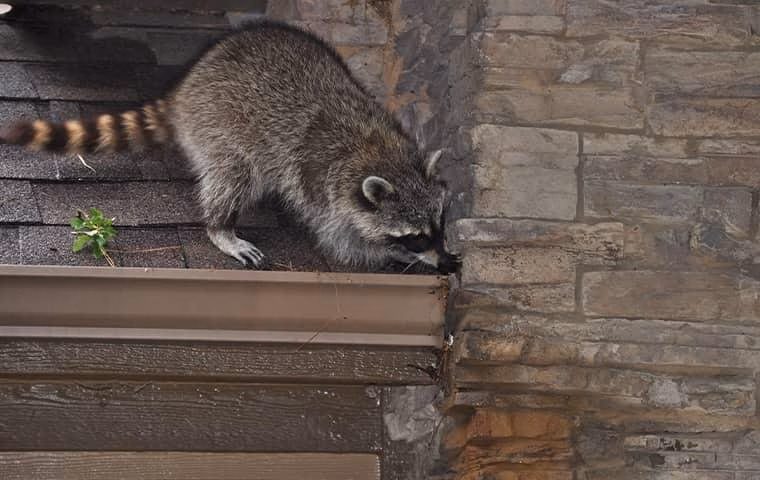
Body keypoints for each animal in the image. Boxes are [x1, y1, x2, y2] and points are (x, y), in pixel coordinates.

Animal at [0, 20, 459, 273]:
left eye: (438, 226)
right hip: (221, 127)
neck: (377, 150)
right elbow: (340, 241)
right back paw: (221, 227)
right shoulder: (321, 187)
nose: (439, 257)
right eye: (414, 236)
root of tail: (187, 87)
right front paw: (392, 256)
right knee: (234, 175)